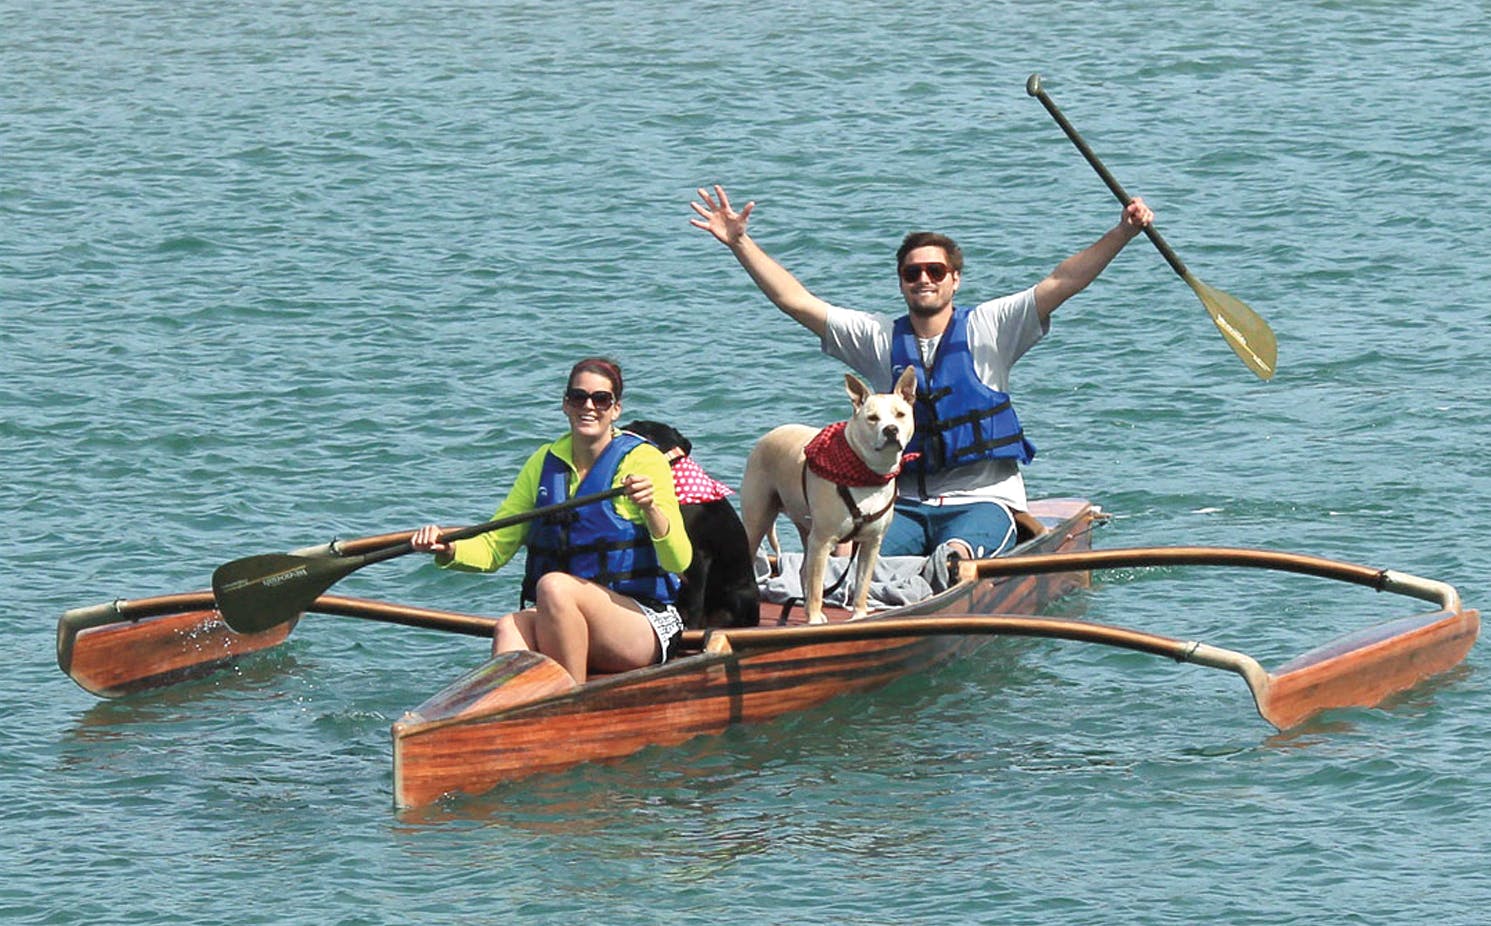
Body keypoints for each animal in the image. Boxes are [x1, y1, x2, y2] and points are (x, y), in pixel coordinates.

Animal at [736, 366, 912, 620]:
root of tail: (768, 435)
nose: (890, 430)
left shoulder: (871, 543)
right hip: (758, 521)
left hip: (805, 526)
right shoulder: (822, 541)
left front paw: (859, 615)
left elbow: (862, 584)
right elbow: (818, 586)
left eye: (900, 414)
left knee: (803, 570)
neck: (868, 474)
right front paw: (814, 619)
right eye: (872, 418)